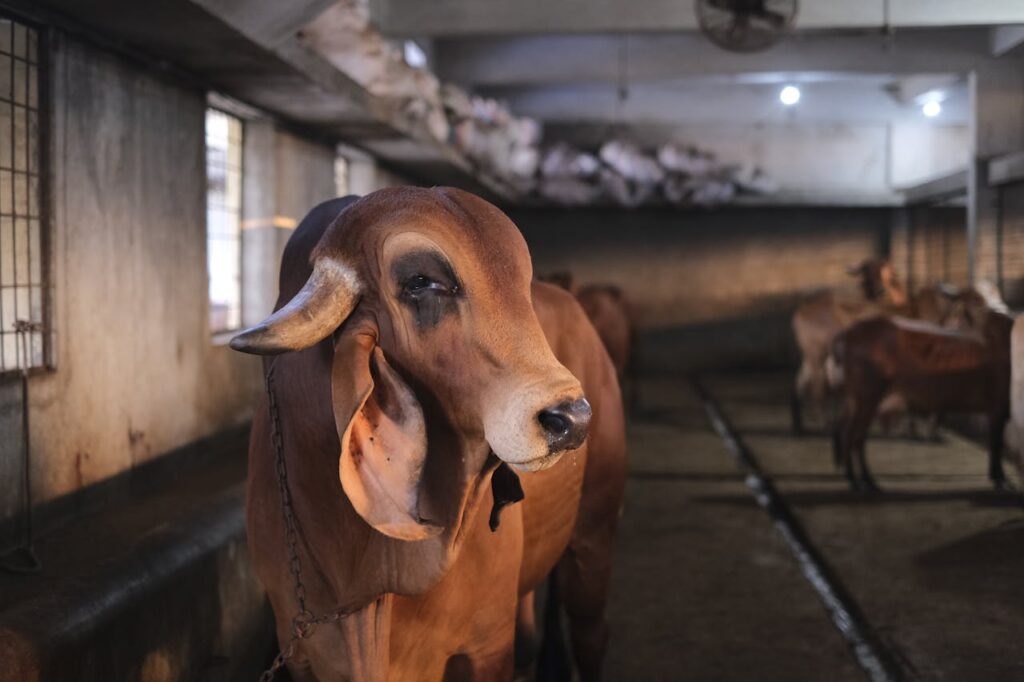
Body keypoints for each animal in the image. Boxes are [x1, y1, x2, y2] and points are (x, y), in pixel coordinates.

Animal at [231, 188, 627, 682]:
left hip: (594, 530)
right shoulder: (301, 649)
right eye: (421, 282)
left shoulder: (487, 647)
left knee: (591, 632)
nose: (571, 417)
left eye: (521, 285)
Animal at [829, 296, 1014, 492]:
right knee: (852, 436)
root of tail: (846, 335)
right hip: (868, 397)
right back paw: (859, 481)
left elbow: (996, 443)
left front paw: (998, 478)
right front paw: (1001, 480)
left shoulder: (999, 409)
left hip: (857, 399)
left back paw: (864, 480)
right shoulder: (998, 406)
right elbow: (996, 444)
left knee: (848, 431)